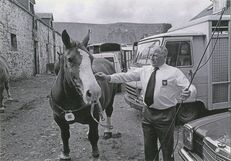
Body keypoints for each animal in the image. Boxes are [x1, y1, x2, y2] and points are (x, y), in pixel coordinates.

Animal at [49, 29, 117, 160]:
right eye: (69, 59)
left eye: (91, 58)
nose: (94, 92)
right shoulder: (59, 119)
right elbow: (65, 135)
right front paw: (65, 154)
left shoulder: (94, 117)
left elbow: (93, 137)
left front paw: (95, 155)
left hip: (111, 100)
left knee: (109, 112)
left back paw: (108, 132)